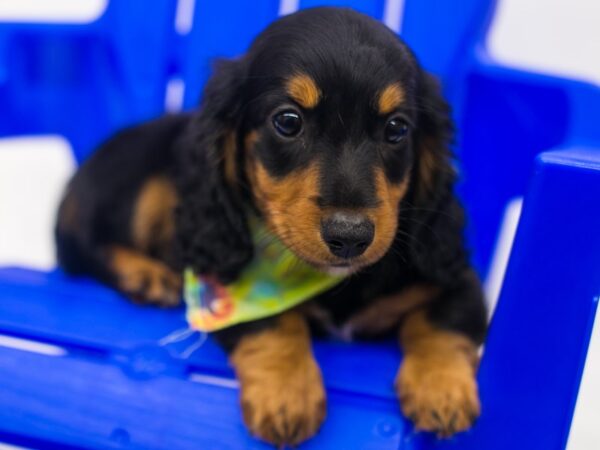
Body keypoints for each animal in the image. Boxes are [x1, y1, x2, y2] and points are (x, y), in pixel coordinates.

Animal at [56, 7, 488, 446]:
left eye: (397, 129)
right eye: (288, 121)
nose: (350, 237)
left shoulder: (459, 279)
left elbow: (444, 322)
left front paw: (441, 389)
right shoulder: (224, 283)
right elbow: (274, 323)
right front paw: (287, 395)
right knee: (86, 244)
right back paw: (145, 275)